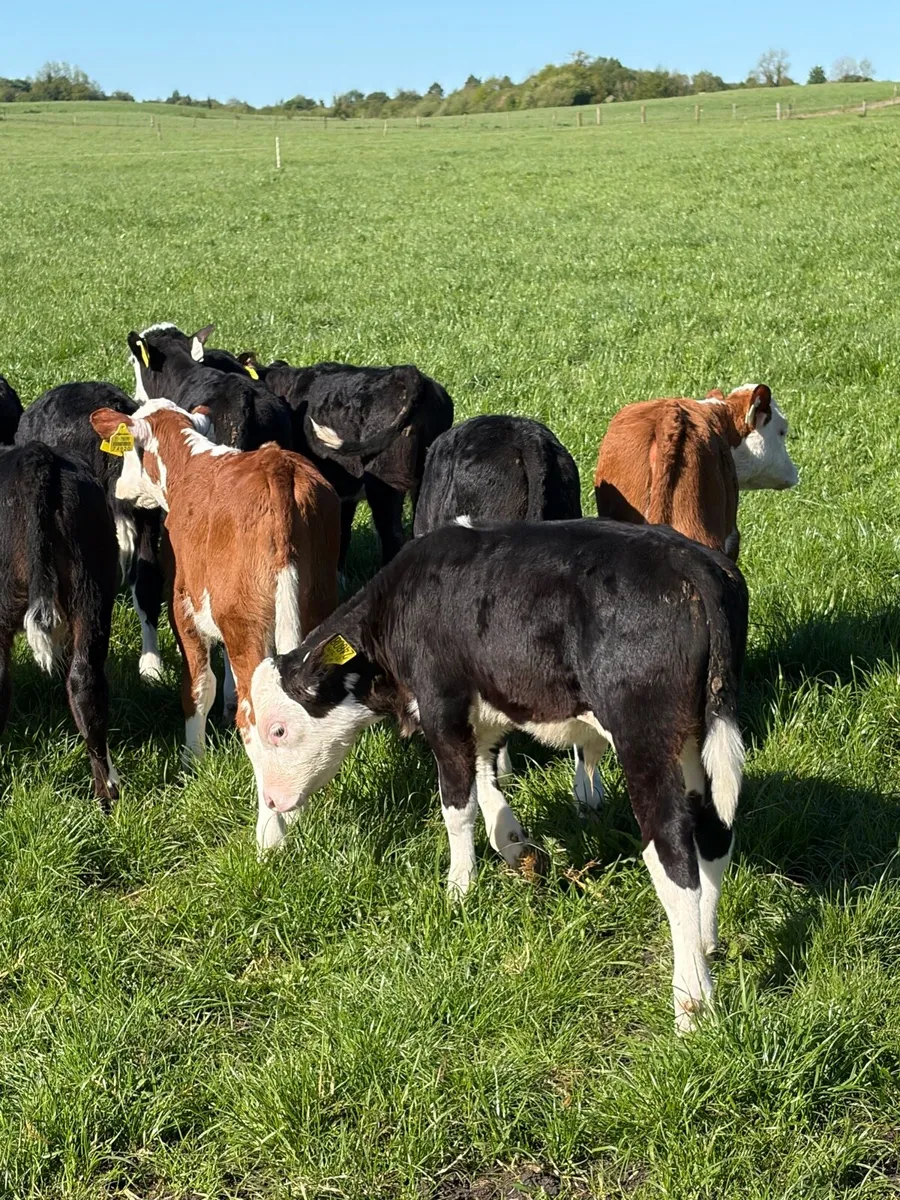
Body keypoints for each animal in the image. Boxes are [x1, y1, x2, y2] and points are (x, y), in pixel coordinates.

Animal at [89, 399, 341, 847]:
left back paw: (269, 836)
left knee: (256, 719)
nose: (119, 492)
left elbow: (197, 689)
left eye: (128, 453)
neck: (191, 463)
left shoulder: (184, 611)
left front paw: (193, 761)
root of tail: (277, 467)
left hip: (249, 631)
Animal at [246, 518, 748, 1032]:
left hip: (644, 739)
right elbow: (485, 781)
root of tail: (689, 561)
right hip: (697, 740)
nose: (272, 802)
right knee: (715, 832)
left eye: (277, 730)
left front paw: (458, 889)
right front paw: (512, 843)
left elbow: (457, 805)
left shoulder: (441, 706)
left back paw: (692, 1003)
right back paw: (708, 941)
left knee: (674, 858)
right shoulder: (483, 714)